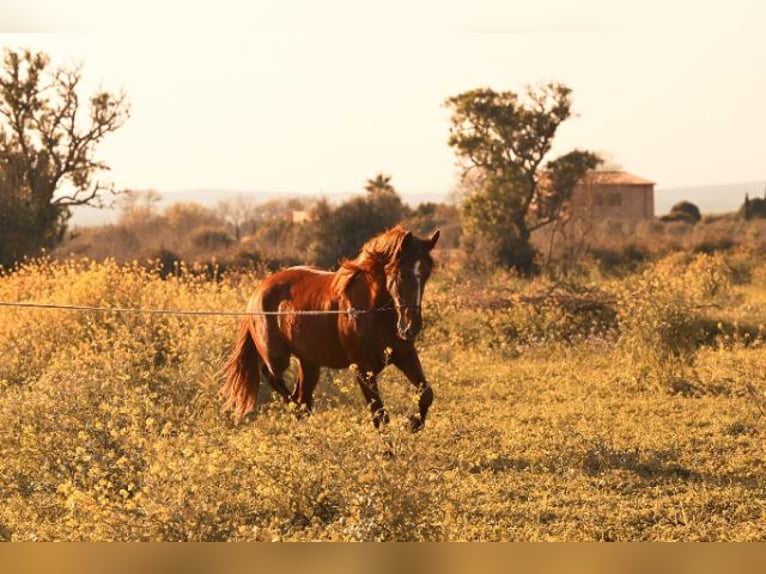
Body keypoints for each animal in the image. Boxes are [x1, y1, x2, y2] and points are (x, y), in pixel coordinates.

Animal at [221, 225, 440, 432]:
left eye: (426, 274)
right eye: (401, 273)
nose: (410, 328)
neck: (373, 311)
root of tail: (257, 292)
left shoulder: (405, 355)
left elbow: (426, 394)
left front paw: (412, 423)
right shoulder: (363, 369)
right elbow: (380, 415)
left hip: (309, 363)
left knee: (302, 397)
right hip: (277, 357)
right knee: (274, 378)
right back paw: (297, 412)